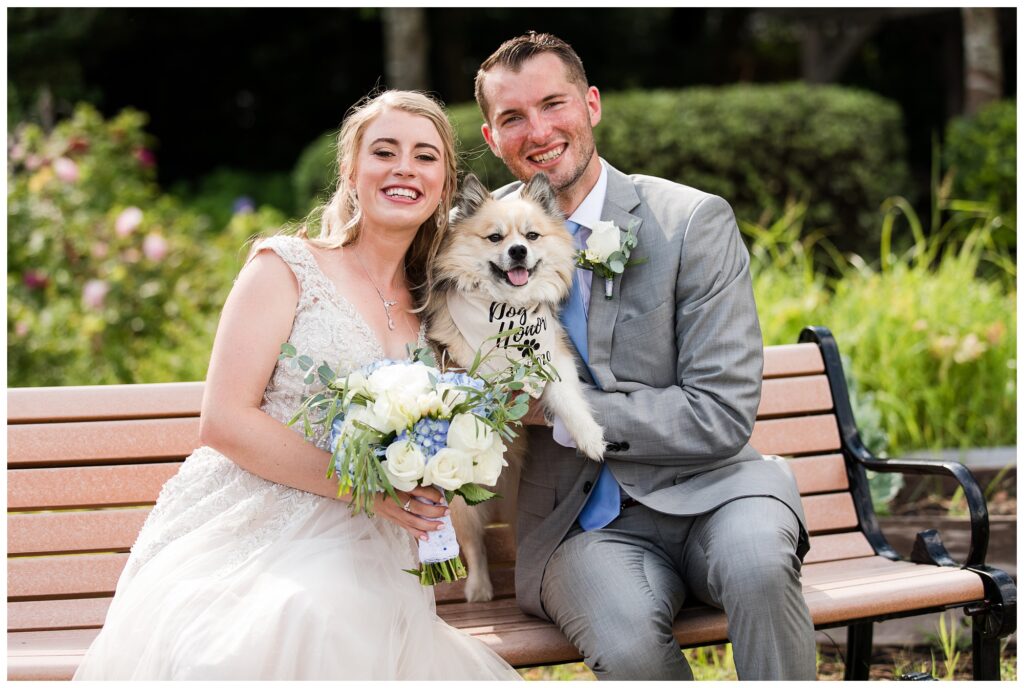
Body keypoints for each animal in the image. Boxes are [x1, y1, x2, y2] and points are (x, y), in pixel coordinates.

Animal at [421, 172, 602, 602]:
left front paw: (590, 438)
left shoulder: (554, 357)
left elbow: (568, 398)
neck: (507, 310)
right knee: (474, 545)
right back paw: (480, 588)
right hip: (465, 508)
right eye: (495, 238)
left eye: (532, 236)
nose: (518, 250)